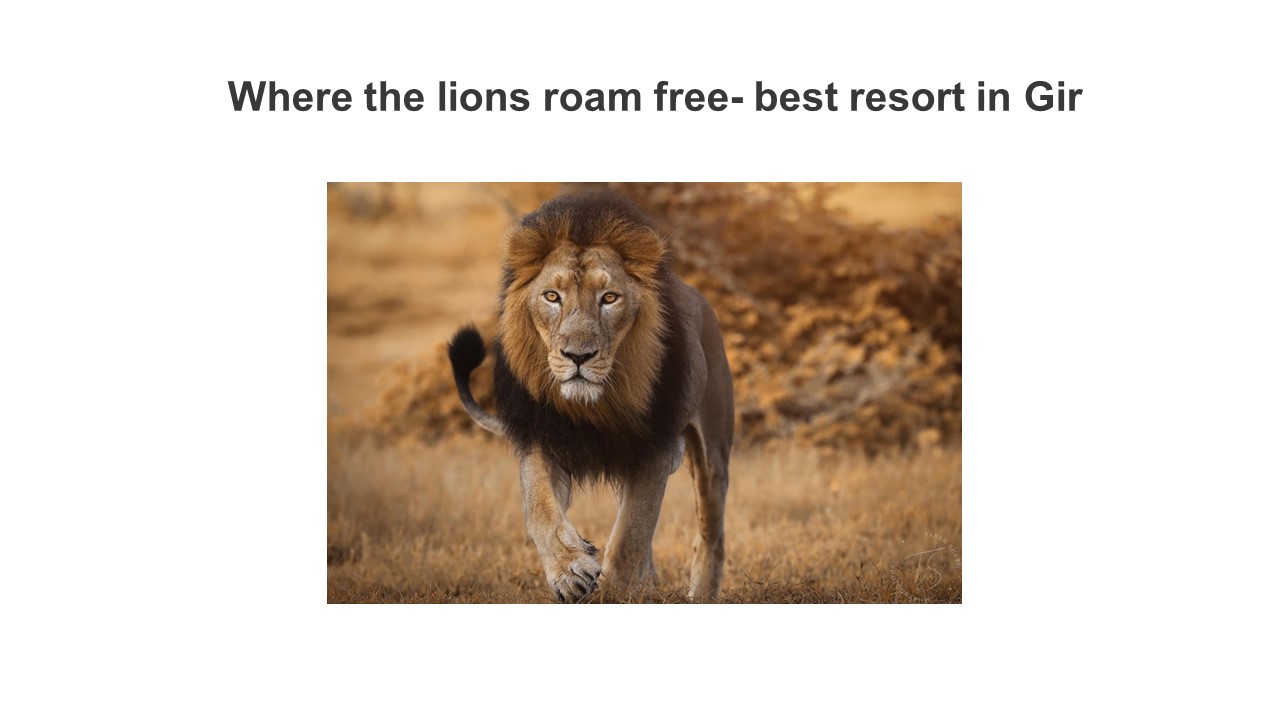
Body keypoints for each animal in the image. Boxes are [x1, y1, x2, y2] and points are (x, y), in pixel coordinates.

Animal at [447, 191, 734, 602]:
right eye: (552, 296)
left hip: (712, 452)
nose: (577, 356)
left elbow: (630, 535)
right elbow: (540, 511)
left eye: (610, 298)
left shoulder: (654, 450)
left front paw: (617, 591)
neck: (595, 405)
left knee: (711, 531)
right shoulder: (541, 436)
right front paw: (571, 569)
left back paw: (700, 593)